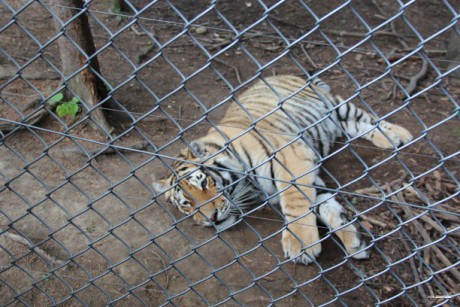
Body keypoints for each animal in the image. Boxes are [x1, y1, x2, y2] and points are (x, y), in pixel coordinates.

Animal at [154, 76, 414, 266]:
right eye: (186, 204)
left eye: (204, 183)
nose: (211, 219)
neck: (247, 184)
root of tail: (282, 74)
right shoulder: (312, 177)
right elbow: (325, 205)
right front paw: (354, 241)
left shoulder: (292, 156)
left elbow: (296, 201)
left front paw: (301, 245)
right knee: (356, 126)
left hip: (337, 106)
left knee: (369, 118)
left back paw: (400, 135)